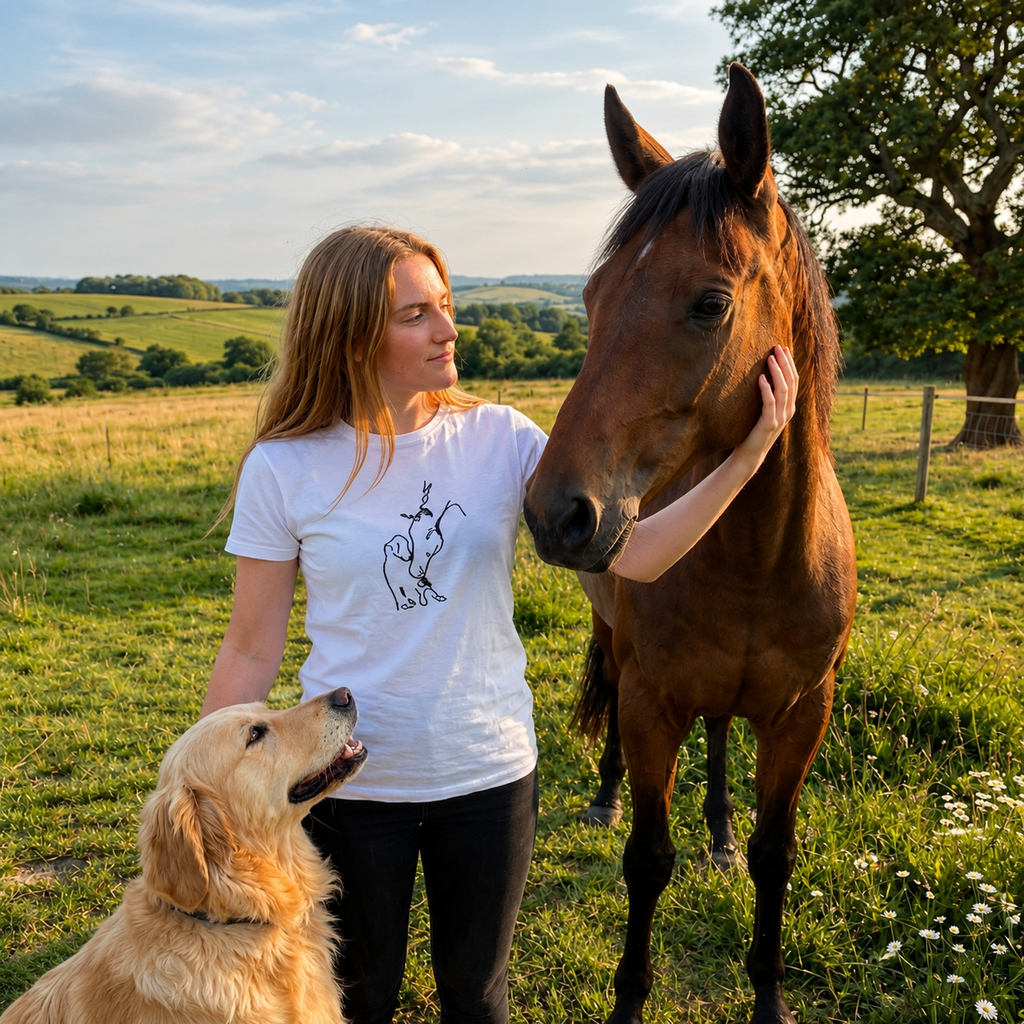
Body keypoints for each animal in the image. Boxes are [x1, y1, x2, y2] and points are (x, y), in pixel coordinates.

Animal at [523, 64, 857, 1024]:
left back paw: (719, 832)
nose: (556, 512)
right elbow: (646, 860)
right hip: (617, 644)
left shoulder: (804, 713)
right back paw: (605, 798)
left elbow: (779, 857)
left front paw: (769, 994)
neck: (760, 559)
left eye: (709, 303)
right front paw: (629, 999)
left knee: (719, 736)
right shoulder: (650, 703)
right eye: (589, 300)